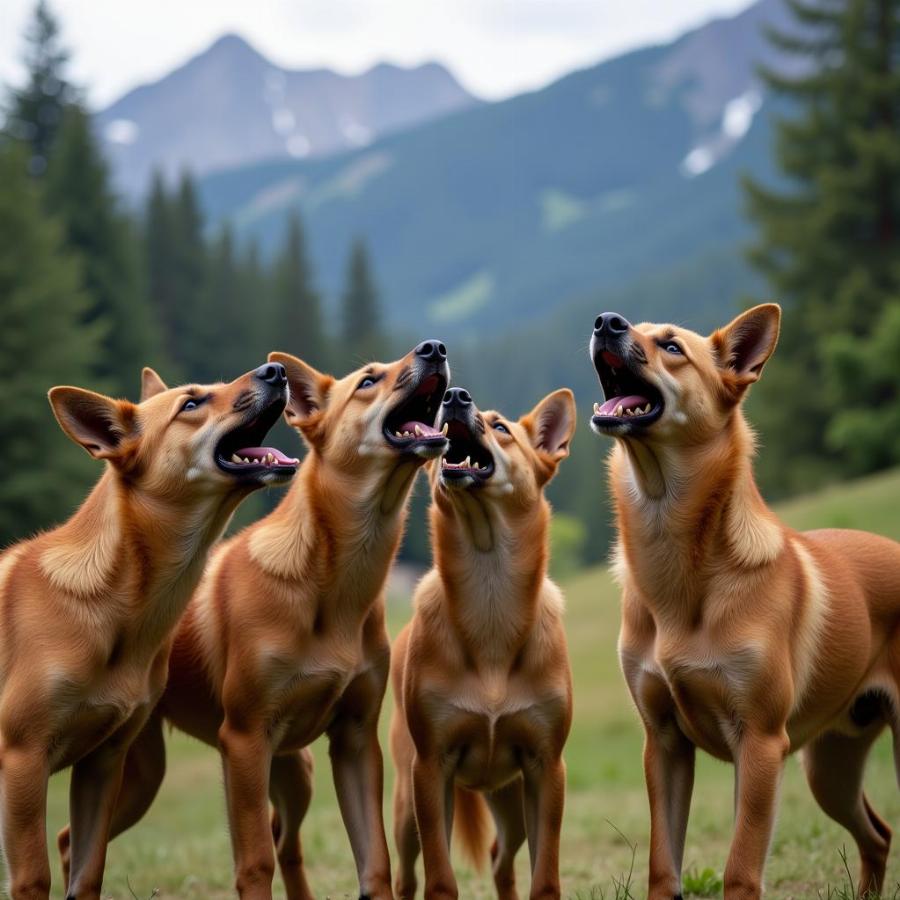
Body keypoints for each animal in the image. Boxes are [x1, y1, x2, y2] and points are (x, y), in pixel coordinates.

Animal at [0, 362, 298, 900]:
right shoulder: (22, 756)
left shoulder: (103, 762)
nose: (276, 368)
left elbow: (88, 872)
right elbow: (33, 876)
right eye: (191, 403)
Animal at [81, 342, 450, 896]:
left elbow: (374, 858)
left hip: (287, 770)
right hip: (146, 772)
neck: (334, 583)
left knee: (287, 842)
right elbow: (253, 862)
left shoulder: (355, 736)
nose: (435, 348)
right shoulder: (243, 738)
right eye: (367, 381)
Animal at [388, 384, 572, 900]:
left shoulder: (546, 768)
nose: (454, 395)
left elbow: (544, 877)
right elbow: (440, 877)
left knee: (500, 859)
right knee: (406, 874)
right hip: (407, 806)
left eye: (502, 427)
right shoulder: (431, 769)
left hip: (511, 799)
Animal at [588, 304, 900, 900]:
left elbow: (741, 866)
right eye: (632, 325)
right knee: (878, 834)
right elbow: (664, 864)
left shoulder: (759, 743)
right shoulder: (664, 742)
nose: (604, 321)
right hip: (830, 766)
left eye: (672, 347)